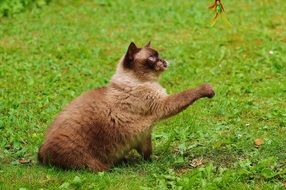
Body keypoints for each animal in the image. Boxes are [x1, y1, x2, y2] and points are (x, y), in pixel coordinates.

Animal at [37, 41, 214, 171]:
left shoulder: (143, 136)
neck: (142, 81)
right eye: (152, 58)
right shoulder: (163, 104)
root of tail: (41, 153)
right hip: (92, 161)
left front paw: (152, 162)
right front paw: (208, 89)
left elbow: (148, 153)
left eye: (159, 56)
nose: (163, 61)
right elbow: (187, 94)